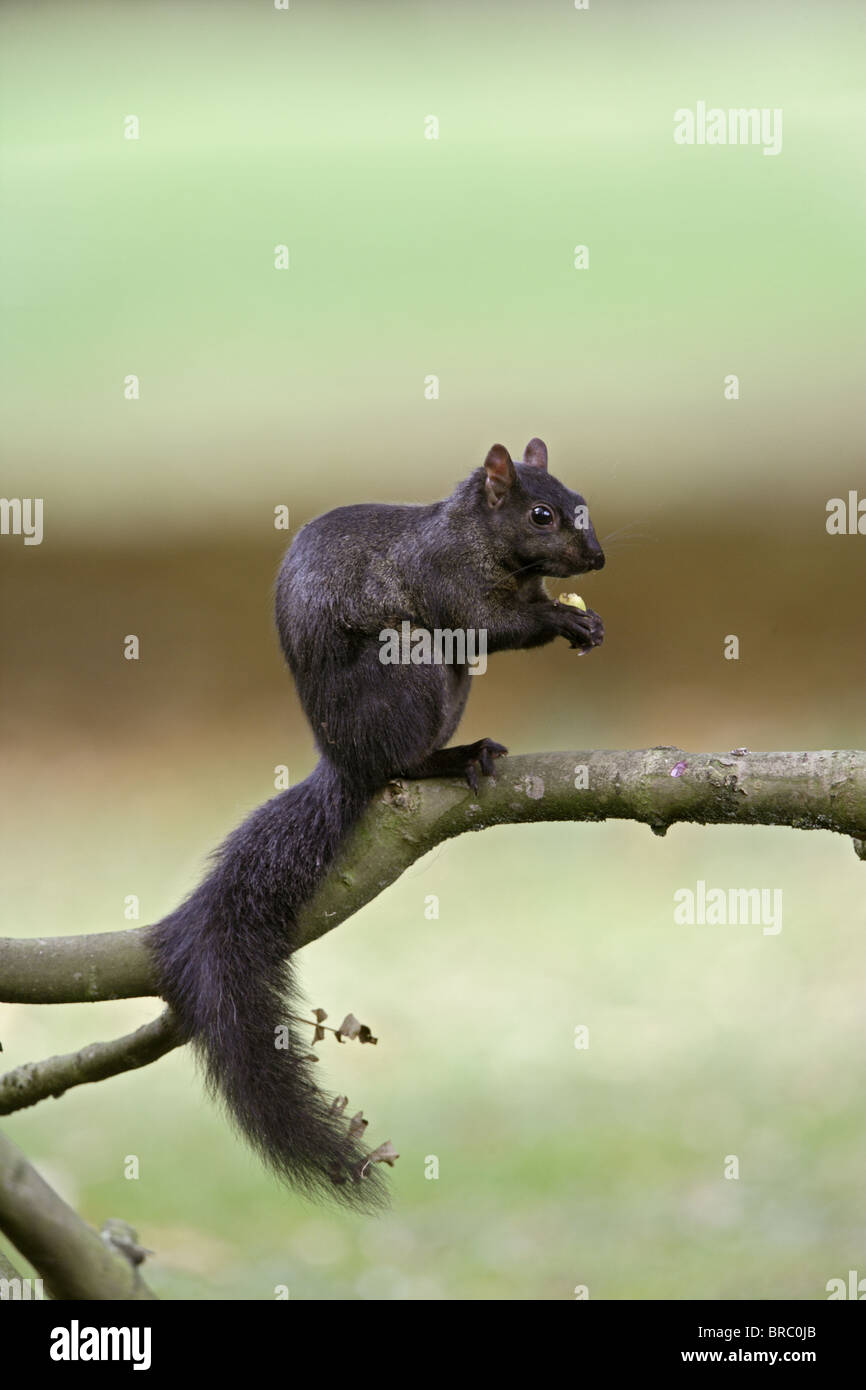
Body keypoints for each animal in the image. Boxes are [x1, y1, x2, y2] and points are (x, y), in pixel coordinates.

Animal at [148, 436, 606, 1206]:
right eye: (541, 515)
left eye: (581, 503)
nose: (598, 558)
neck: (481, 541)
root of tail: (345, 762)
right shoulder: (444, 580)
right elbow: (487, 623)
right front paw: (564, 621)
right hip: (408, 668)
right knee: (402, 757)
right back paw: (446, 760)